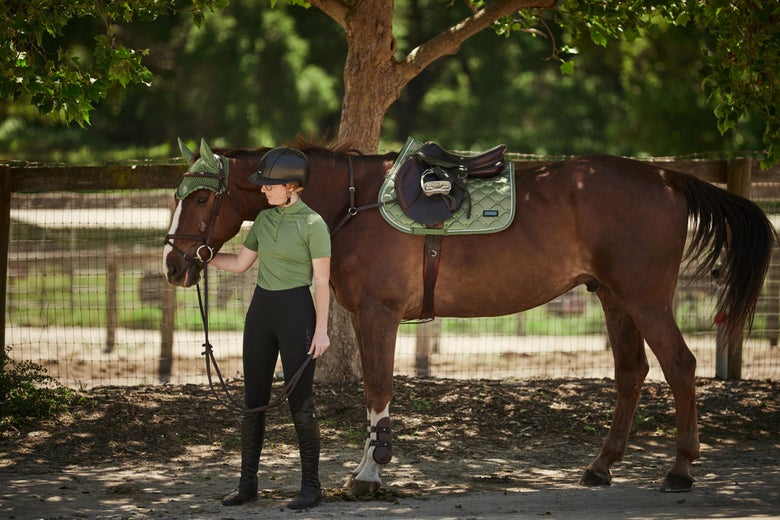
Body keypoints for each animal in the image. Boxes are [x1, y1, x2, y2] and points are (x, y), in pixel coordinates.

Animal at [164, 138, 775, 495]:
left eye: (201, 199)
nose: (174, 264)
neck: (357, 203)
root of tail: (668, 179)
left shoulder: (379, 315)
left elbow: (378, 388)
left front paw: (370, 472)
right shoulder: (366, 316)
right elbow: (374, 390)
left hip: (644, 297)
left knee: (680, 366)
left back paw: (680, 470)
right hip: (613, 297)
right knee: (632, 372)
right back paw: (601, 467)